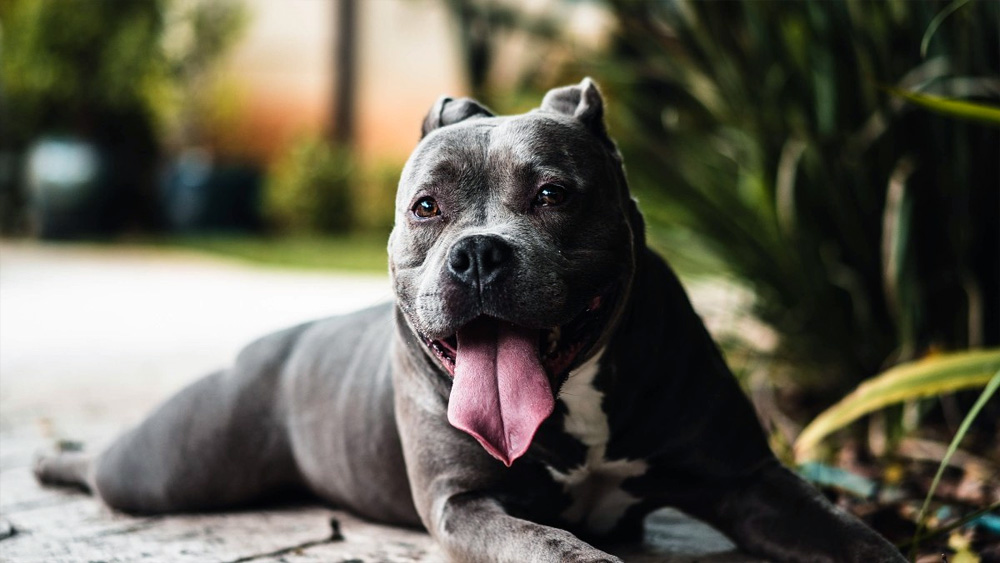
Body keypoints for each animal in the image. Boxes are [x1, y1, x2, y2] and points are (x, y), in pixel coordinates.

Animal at [35, 80, 908, 563]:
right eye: (427, 207)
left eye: (553, 194)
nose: (479, 253)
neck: (575, 398)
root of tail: (273, 344)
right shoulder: (467, 504)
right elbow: (556, 546)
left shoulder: (747, 479)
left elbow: (856, 536)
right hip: (170, 464)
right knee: (111, 467)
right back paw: (55, 459)